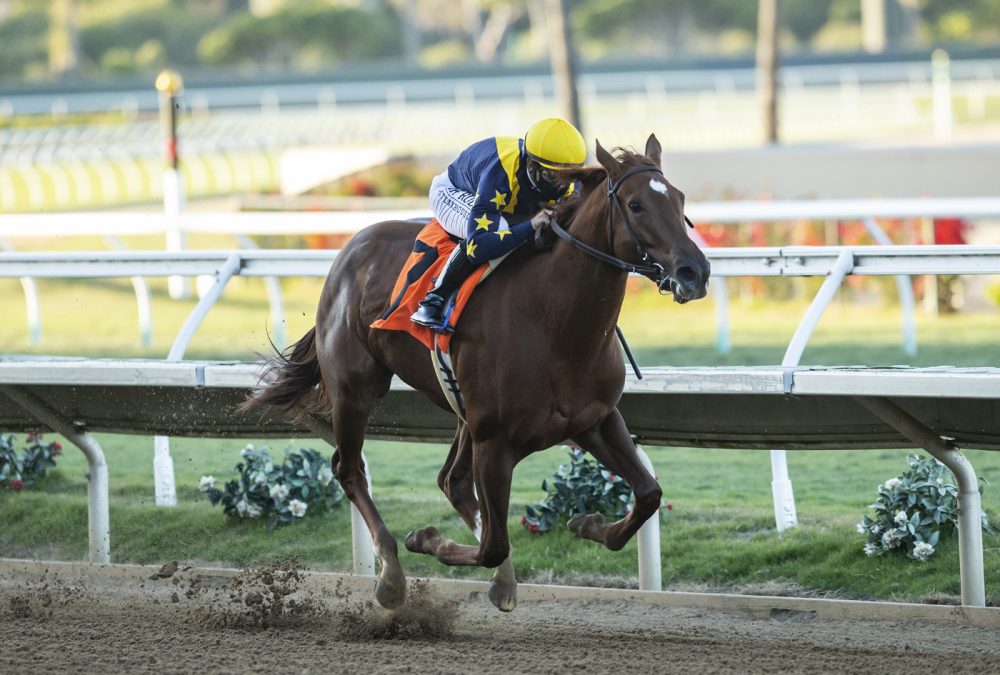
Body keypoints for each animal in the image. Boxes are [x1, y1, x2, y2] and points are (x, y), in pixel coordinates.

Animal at [242, 136, 712, 612]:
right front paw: (428, 540)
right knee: (351, 468)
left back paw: (498, 579)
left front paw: (587, 525)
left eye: (679, 199)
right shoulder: (495, 441)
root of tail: (351, 247)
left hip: (461, 406)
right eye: (635, 205)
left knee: (451, 481)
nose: (695, 271)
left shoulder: (594, 419)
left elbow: (648, 494)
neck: (555, 323)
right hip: (355, 389)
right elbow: (493, 545)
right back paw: (391, 574)